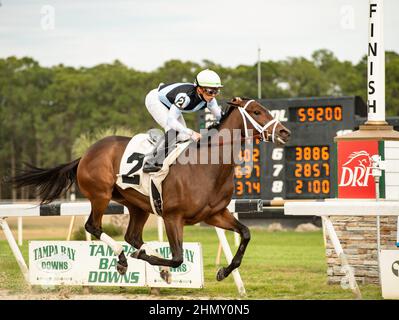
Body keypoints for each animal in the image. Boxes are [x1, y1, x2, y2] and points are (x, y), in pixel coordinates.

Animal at [9, 97, 290, 282]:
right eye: (256, 111)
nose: (285, 132)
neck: (207, 165)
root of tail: (86, 154)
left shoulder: (214, 214)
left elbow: (246, 234)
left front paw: (223, 271)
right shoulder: (173, 216)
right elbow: (177, 258)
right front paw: (151, 261)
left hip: (137, 205)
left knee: (132, 236)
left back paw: (141, 255)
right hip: (100, 195)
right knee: (94, 226)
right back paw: (124, 259)